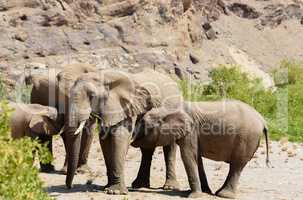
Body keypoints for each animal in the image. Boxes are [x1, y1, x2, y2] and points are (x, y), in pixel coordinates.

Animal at [140, 100, 270, 198]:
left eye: (145, 125)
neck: (168, 109)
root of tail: (263, 120)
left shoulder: (191, 131)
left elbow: (188, 156)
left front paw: (194, 196)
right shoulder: (194, 134)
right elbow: (196, 158)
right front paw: (204, 192)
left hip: (247, 138)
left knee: (237, 165)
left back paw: (224, 195)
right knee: (236, 166)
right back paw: (218, 193)